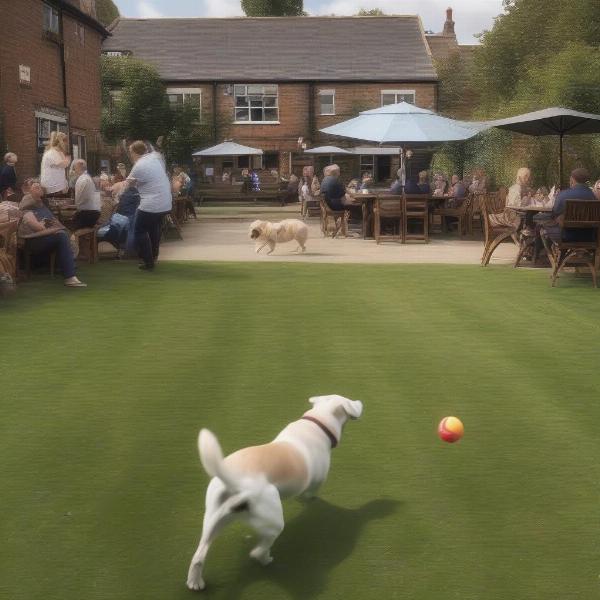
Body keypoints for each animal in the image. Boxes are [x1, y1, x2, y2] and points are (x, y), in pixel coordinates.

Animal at [188, 394, 364, 592]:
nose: (361, 404)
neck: (317, 422)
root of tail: (235, 483)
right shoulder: (317, 481)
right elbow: (310, 493)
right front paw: (311, 500)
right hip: (274, 521)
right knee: (259, 550)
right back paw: (265, 559)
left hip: (213, 519)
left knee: (198, 556)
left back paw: (195, 583)